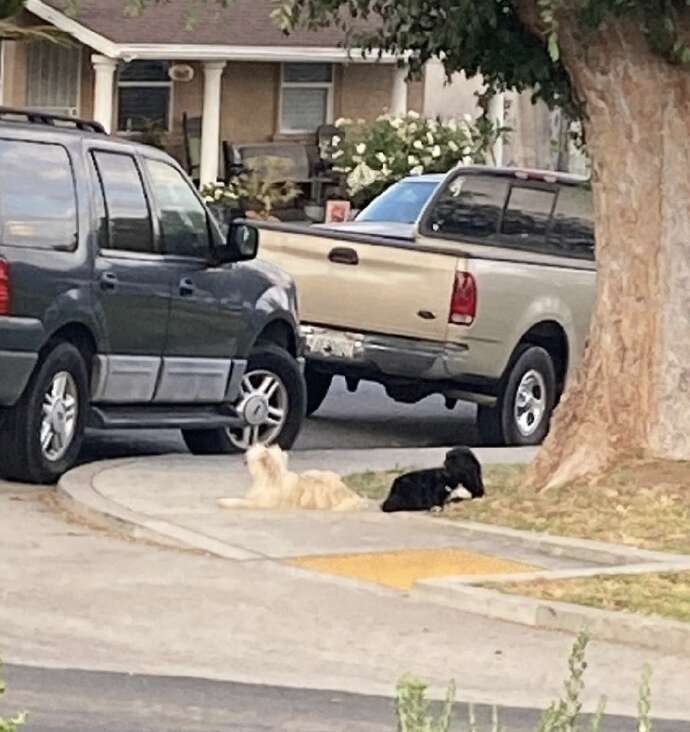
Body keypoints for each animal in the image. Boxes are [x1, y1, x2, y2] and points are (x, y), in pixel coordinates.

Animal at [216, 444, 366, 512]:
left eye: (252, 453)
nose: (244, 455)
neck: (271, 477)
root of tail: (351, 494)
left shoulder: (261, 503)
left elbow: (240, 501)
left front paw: (224, 501)